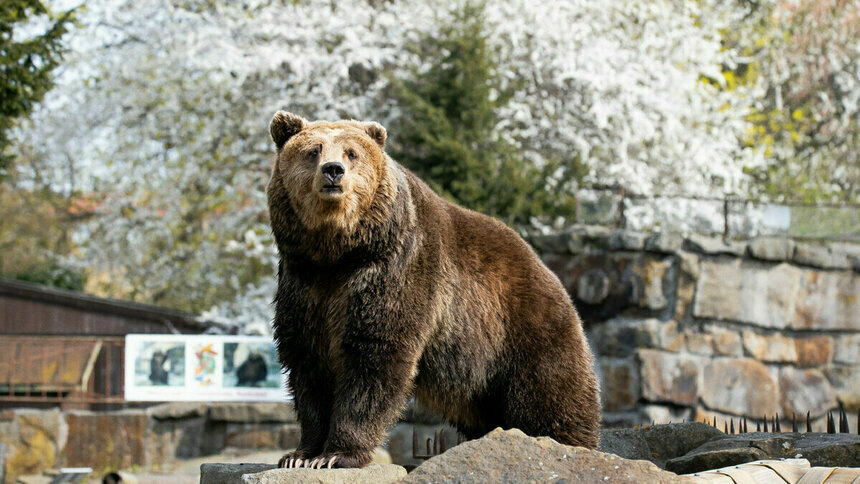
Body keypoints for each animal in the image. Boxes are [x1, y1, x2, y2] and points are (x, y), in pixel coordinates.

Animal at [268, 110, 596, 468]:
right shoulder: (304, 284)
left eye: (352, 153)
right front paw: (301, 454)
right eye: (313, 150)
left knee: (550, 399)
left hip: (523, 332)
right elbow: (307, 363)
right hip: (479, 381)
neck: (340, 252)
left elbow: (375, 357)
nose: (333, 170)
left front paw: (337, 454)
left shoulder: (397, 270)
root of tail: (549, 272)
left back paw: (566, 446)